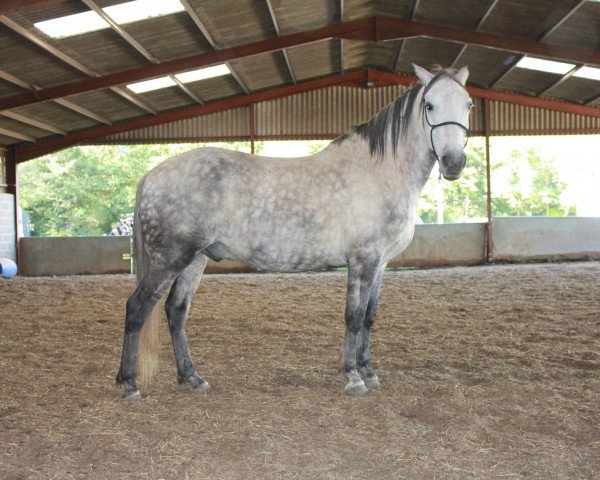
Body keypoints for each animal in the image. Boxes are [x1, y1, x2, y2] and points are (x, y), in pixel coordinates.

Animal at [118, 64, 474, 402]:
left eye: (468, 104)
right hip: (171, 260)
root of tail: (150, 176)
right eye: (429, 105)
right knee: (138, 307)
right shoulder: (362, 260)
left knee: (176, 311)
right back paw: (129, 385)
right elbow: (354, 316)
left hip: (195, 259)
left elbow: (370, 317)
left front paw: (369, 371)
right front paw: (353, 376)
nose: (453, 163)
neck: (380, 172)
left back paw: (192, 378)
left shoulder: (381, 263)